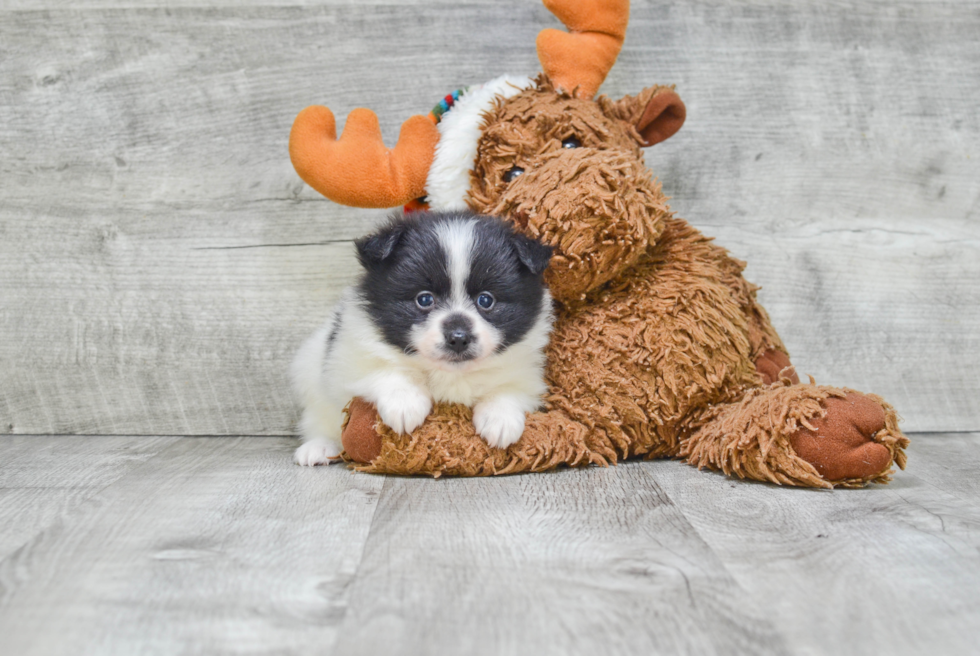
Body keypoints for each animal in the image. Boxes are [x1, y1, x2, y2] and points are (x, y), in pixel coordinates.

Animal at [290, 211, 552, 466]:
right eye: (424, 299)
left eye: (486, 300)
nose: (458, 337)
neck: (450, 374)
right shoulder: (347, 358)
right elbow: (383, 370)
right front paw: (405, 403)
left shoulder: (525, 373)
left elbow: (510, 388)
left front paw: (500, 419)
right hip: (309, 366)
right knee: (320, 417)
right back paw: (319, 446)